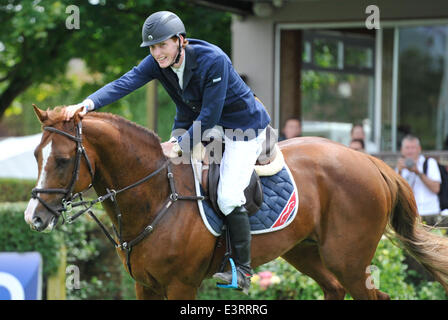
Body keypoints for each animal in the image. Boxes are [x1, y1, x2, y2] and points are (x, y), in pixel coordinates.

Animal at [25, 106, 448, 298]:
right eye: (35, 155)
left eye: (62, 160)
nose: (33, 219)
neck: (157, 196)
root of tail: (371, 162)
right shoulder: (145, 286)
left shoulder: (180, 284)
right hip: (305, 252)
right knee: (333, 288)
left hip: (349, 261)